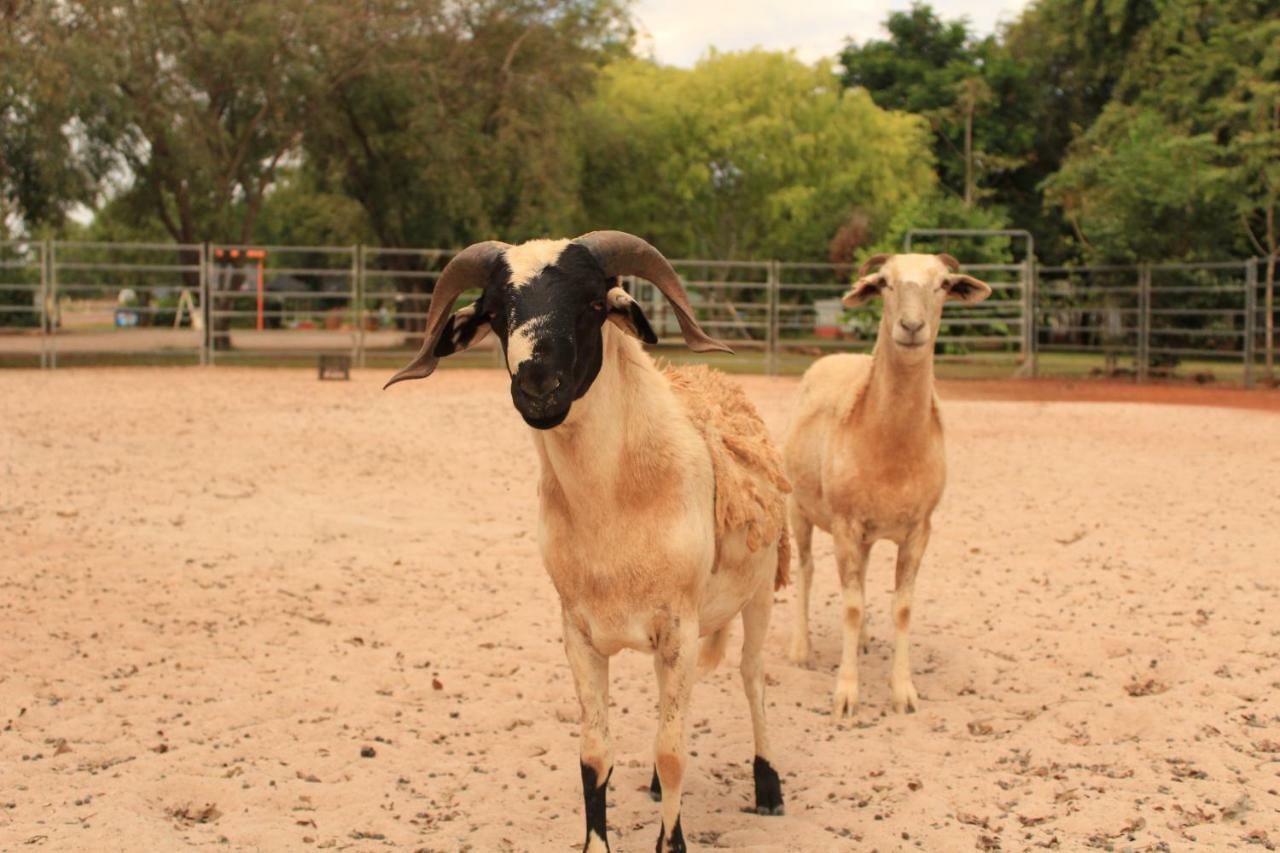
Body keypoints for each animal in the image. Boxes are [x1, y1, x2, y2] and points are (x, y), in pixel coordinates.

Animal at [386, 227, 788, 850]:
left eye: (595, 304)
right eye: (496, 312)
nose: (537, 386)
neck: (612, 510)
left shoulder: (677, 627)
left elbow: (673, 752)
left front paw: (671, 841)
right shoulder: (579, 632)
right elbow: (595, 756)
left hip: (760, 593)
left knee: (752, 679)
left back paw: (768, 787)